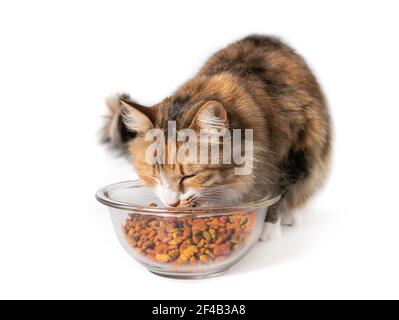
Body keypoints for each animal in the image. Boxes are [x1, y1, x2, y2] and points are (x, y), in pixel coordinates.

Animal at [101, 35, 332, 240]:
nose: (171, 204)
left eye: (188, 176)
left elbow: (276, 194)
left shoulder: (295, 152)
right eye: (154, 175)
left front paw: (267, 228)